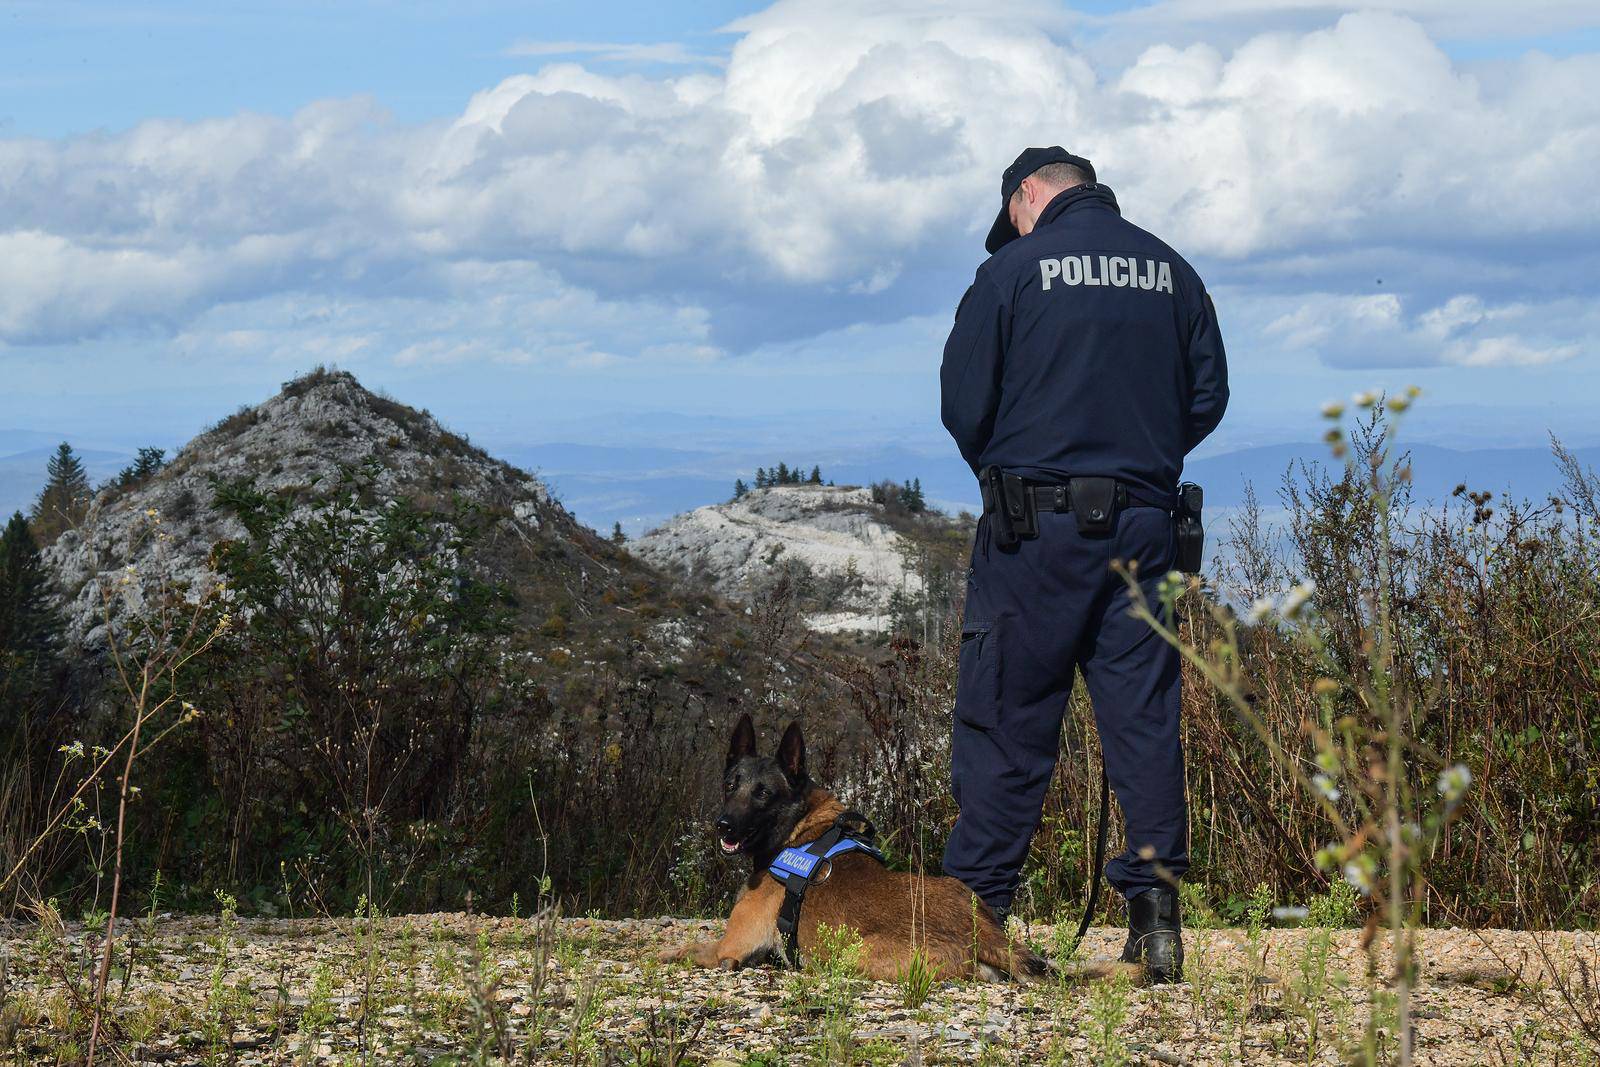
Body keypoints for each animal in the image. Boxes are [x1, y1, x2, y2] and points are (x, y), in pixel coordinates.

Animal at [656, 716, 1132, 985]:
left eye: (763, 794)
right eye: (730, 785)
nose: (723, 825)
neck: (800, 828)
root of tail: (984, 933)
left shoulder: (729, 946)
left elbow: (684, 949)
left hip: (855, 955)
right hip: (960, 889)